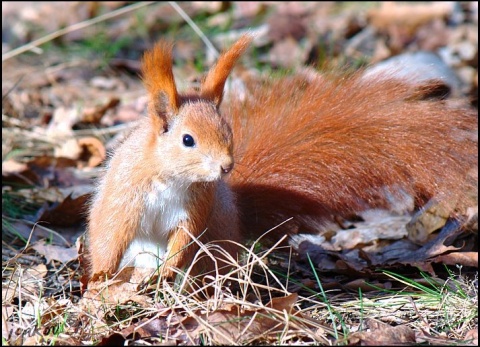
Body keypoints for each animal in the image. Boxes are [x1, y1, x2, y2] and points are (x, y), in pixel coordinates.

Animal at [88, 36, 478, 282]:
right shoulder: (127, 195)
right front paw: (100, 277)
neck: (171, 178)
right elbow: (112, 232)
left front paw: (170, 266)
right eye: (187, 140)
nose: (226, 167)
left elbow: (187, 236)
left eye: (228, 130)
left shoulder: (197, 204)